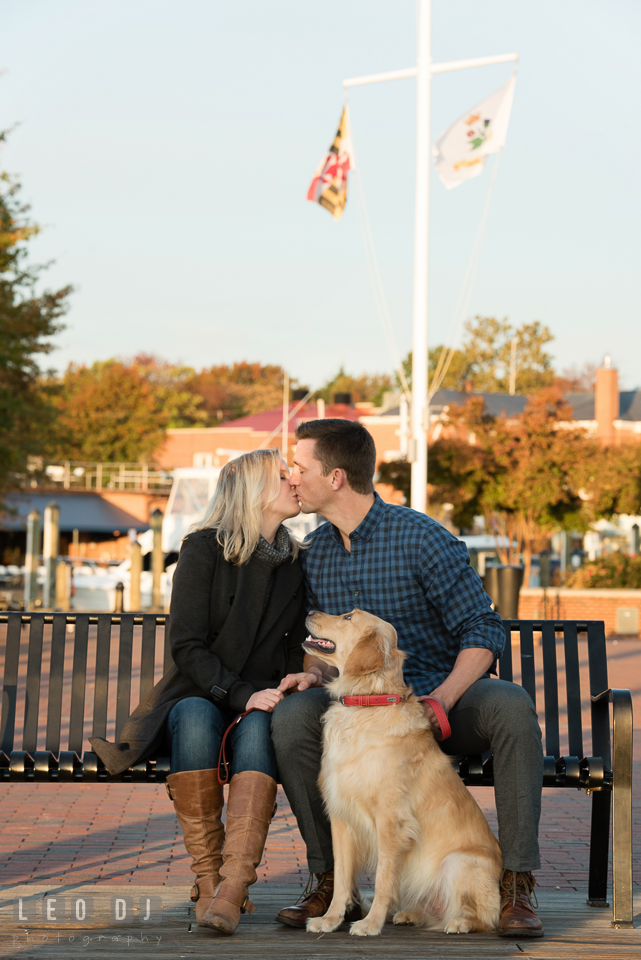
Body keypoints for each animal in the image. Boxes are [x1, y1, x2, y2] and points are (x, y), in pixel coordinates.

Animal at [302, 608, 502, 936]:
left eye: (348, 617)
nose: (309, 610)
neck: (366, 702)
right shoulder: (341, 817)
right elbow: (342, 878)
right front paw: (330, 919)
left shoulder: (391, 820)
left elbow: (383, 878)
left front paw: (370, 924)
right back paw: (410, 914)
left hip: (458, 862)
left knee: (486, 918)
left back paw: (461, 922)